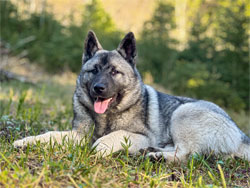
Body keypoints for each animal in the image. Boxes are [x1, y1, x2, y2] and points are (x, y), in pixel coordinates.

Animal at [13, 30, 250, 162]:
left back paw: (157, 157)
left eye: (114, 72)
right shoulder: (78, 135)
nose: (98, 88)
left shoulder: (139, 135)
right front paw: (27, 141)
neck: (107, 115)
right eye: (94, 70)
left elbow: (108, 138)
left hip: (183, 113)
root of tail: (240, 134)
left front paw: (97, 150)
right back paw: (153, 151)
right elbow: (50, 135)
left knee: (186, 154)